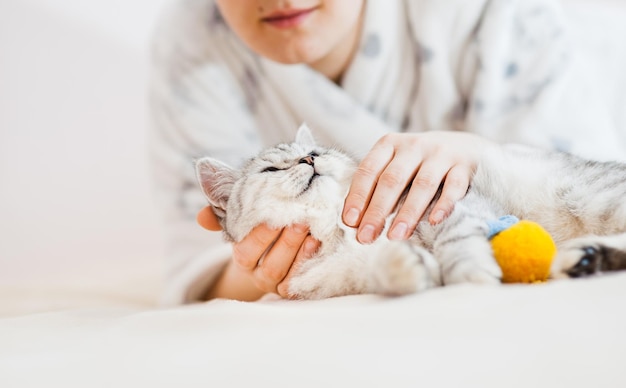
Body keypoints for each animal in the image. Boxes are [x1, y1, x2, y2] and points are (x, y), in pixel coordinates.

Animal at [194, 124, 624, 300]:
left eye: (315, 152)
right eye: (271, 169)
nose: (308, 159)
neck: (335, 230)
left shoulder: (445, 206)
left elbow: (456, 244)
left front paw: (470, 273)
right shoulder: (345, 279)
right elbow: (388, 271)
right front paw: (406, 268)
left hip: (588, 199)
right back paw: (585, 259)